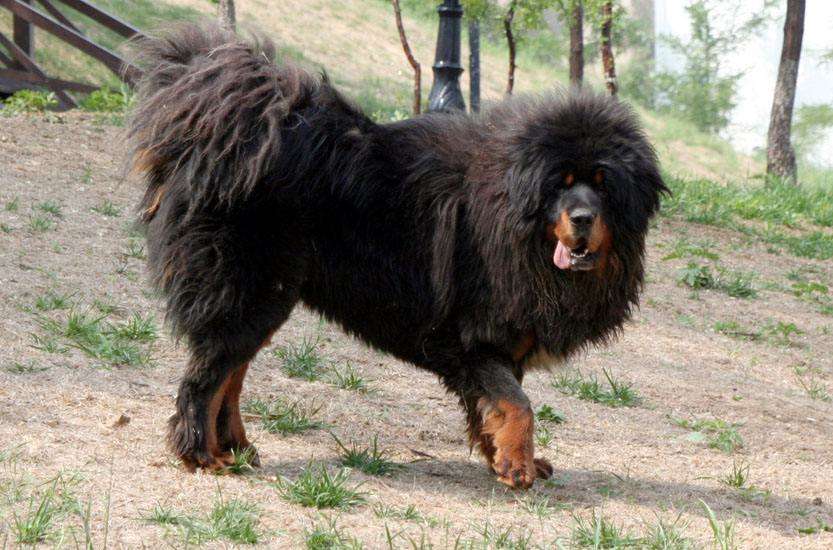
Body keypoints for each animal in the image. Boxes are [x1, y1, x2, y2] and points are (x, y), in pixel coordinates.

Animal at [127, 23, 668, 490]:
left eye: (604, 185)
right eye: (560, 183)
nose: (582, 217)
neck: (517, 224)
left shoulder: (503, 344)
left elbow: (498, 404)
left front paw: (505, 456)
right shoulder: (473, 339)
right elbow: (518, 405)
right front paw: (517, 467)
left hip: (263, 300)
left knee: (230, 376)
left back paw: (234, 448)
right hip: (248, 293)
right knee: (206, 379)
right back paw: (202, 454)